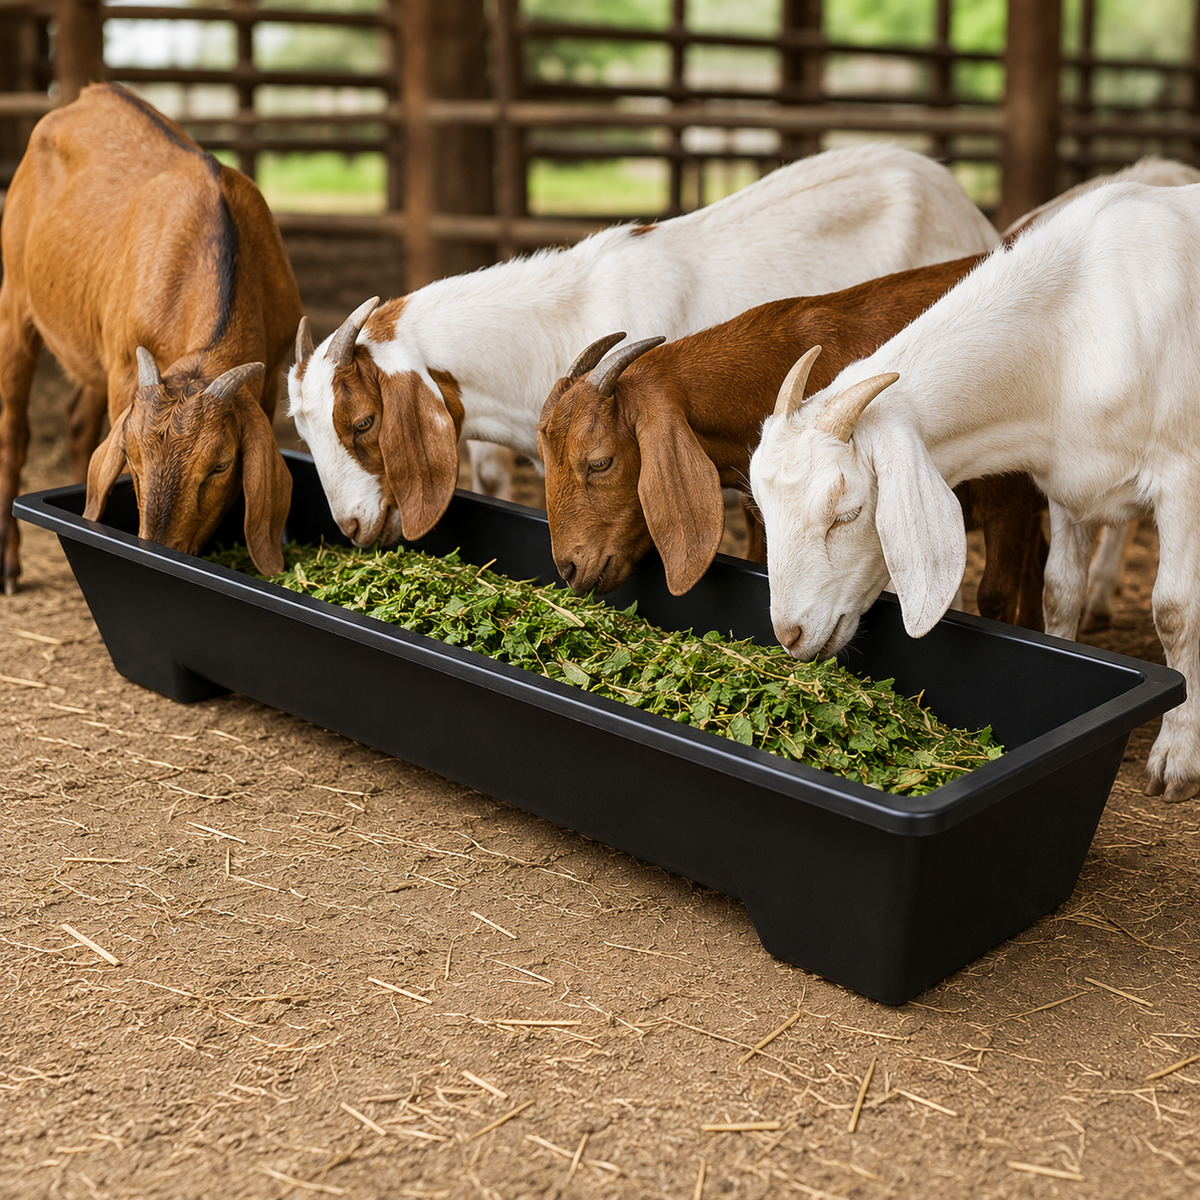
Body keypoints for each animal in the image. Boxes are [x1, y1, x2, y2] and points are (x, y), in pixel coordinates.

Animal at [0, 83, 301, 589]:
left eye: (221, 464)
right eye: (130, 455)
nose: (161, 550)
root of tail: (90, 93)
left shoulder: (270, 371)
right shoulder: (124, 368)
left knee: (77, 422)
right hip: (15, 298)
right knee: (13, 430)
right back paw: (9, 565)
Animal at [748, 180, 1200, 802]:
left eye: (847, 513)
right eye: (763, 512)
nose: (788, 634)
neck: (1077, 329)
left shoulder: (1182, 477)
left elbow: (1175, 611)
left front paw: (1176, 757)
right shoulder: (1069, 488)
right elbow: (1060, 591)